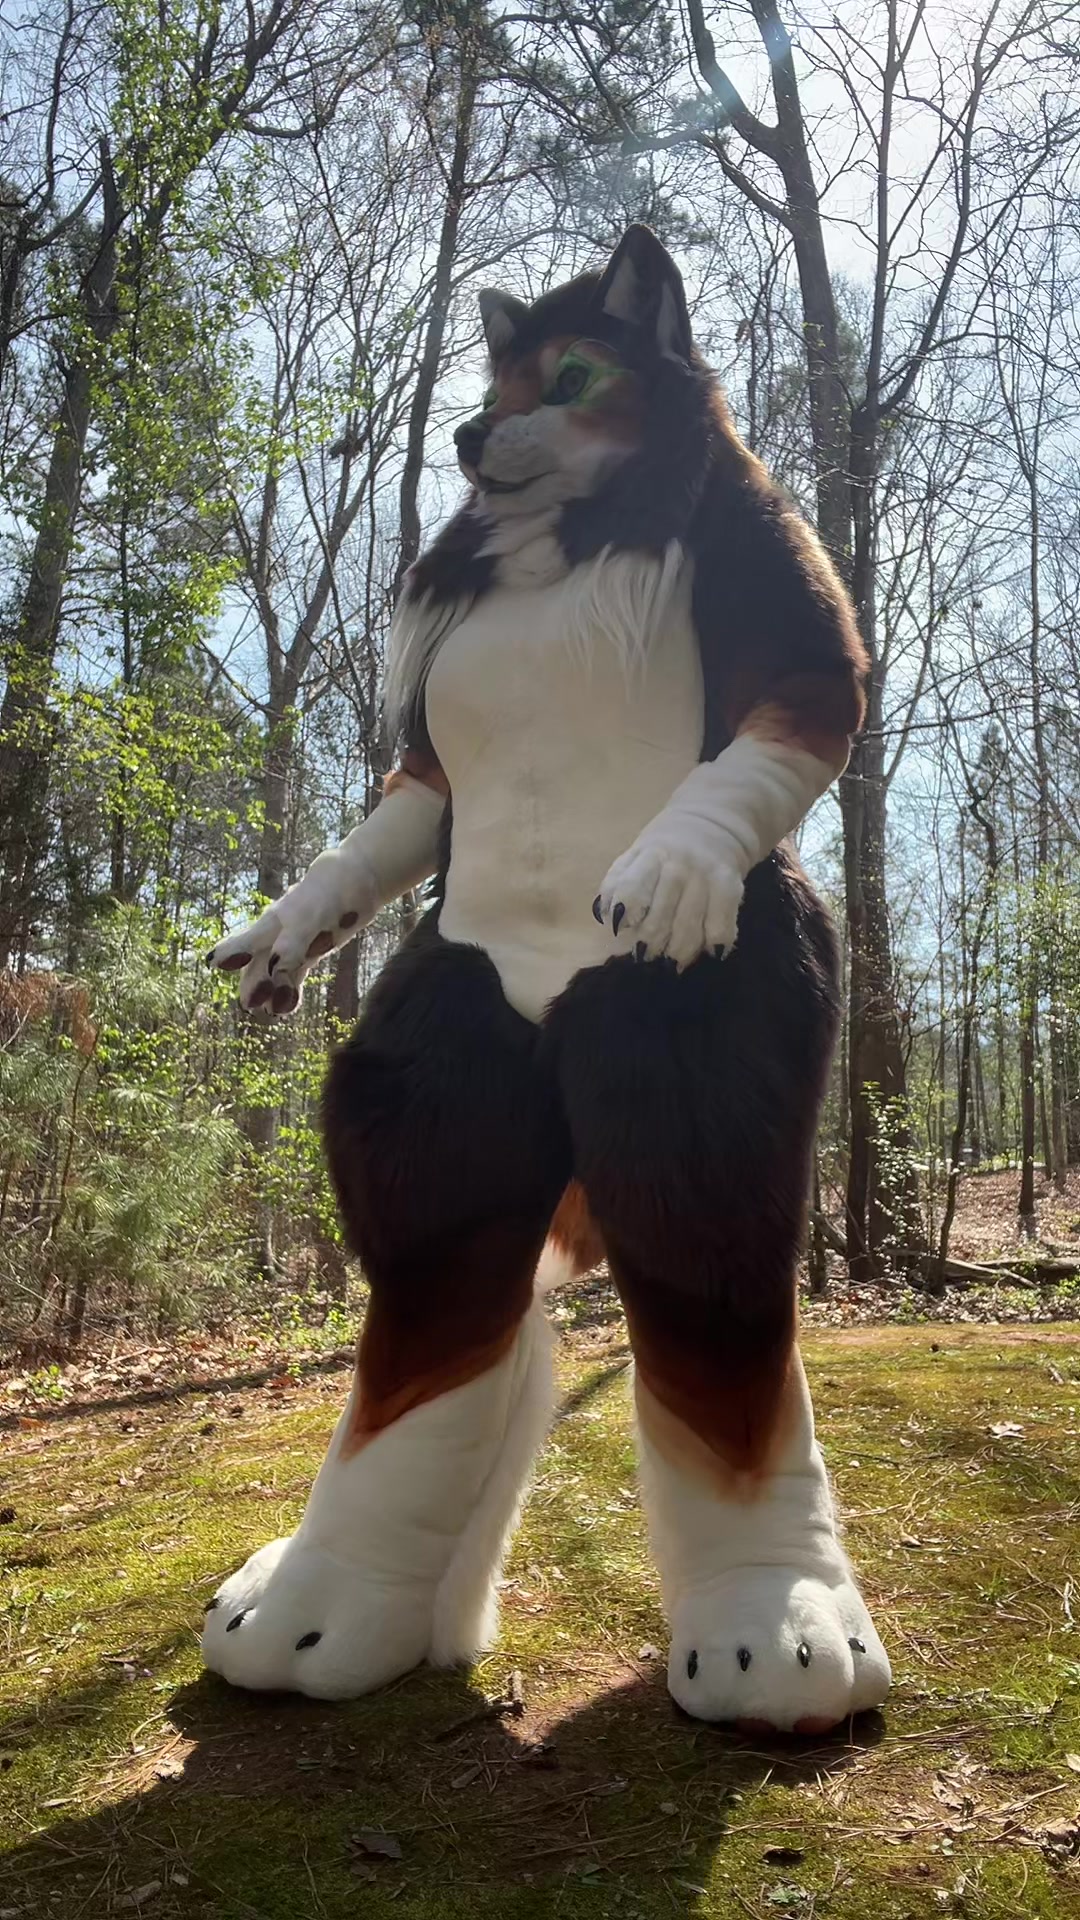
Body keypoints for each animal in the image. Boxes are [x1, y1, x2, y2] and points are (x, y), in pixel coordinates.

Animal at [202, 226, 890, 1735]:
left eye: (573, 377)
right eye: (491, 380)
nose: (467, 436)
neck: (573, 534)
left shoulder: (763, 550)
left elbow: (807, 697)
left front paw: (674, 862)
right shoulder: (428, 782)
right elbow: (416, 798)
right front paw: (286, 931)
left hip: (698, 1025)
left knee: (706, 1262)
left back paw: (773, 1632)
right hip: (450, 1033)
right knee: (440, 1260)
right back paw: (319, 1605)